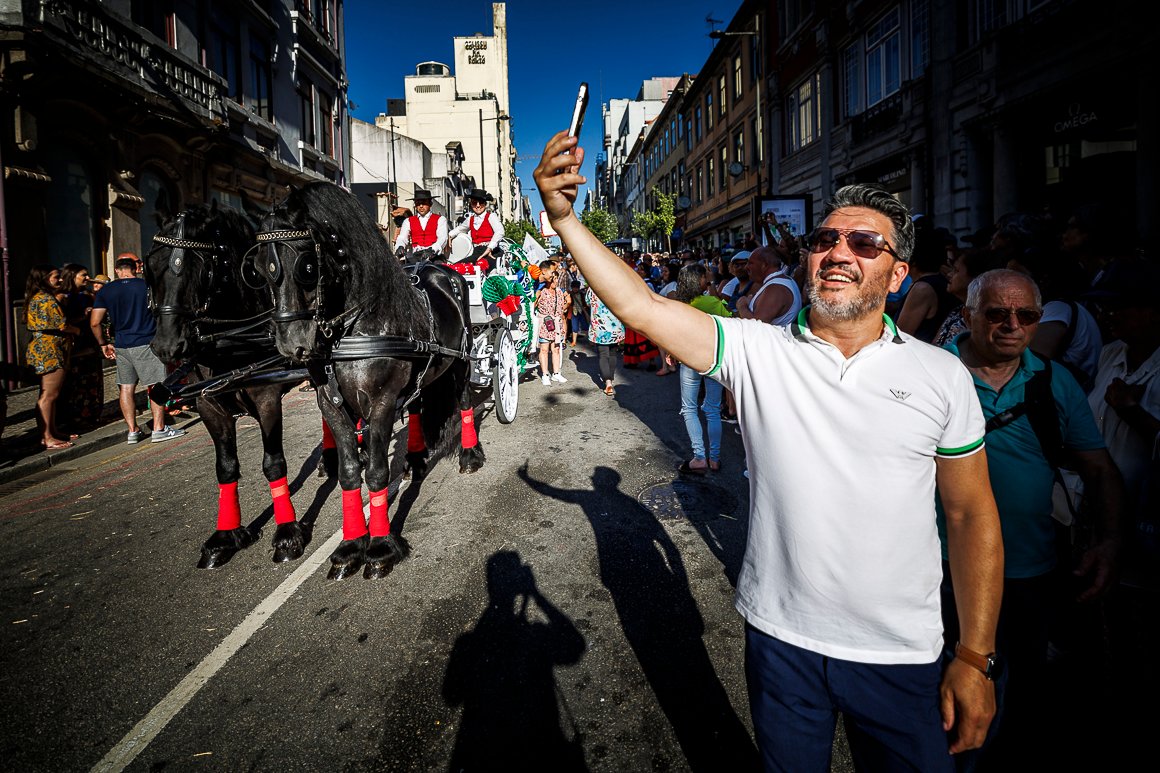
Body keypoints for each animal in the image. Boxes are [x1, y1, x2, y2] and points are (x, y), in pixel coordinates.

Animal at [147, 201, 310, 568]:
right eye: (152, 267)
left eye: (200, 269)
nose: (167, 346)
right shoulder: (208, 405)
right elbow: (225, 468)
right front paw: (226, 536)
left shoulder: (267, 399)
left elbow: (273, 463)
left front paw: (287, 533)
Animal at [255, 182, 484, 578]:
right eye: (261, 268)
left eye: (307, 265)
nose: (291, 343)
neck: (355, 329)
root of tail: (443, 270)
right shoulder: (331, 405)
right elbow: (349, 472)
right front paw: (350, 547)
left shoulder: (380, 402)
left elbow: (376, 472)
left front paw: (378, 547)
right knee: (419, 405)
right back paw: (415, 459)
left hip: (460, 362)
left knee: (466, 402)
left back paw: (469, 455)